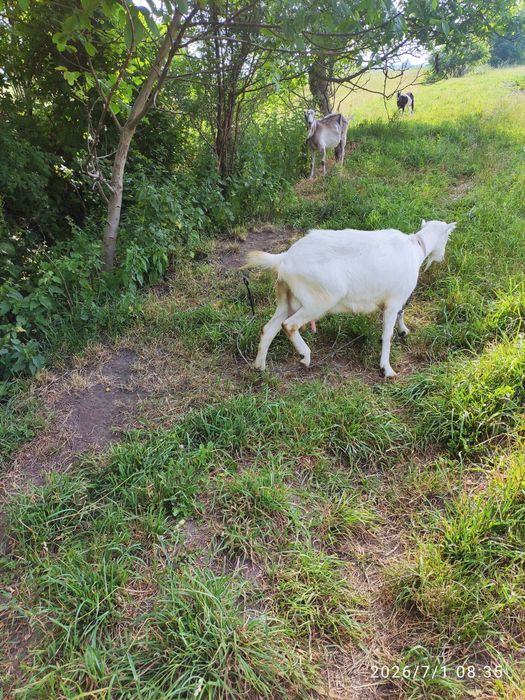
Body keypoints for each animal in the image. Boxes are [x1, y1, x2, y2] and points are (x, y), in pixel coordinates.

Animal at [244, 220, 456, 377]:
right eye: (448, 236)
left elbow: (401, 312)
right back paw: (305, 355)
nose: (443, 256)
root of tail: (285, 258)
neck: (416, 247)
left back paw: (259, 367)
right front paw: (387, 369)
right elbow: (388, 334)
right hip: (318, 300)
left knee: (268, 329)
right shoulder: (393, 301)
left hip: (288, 299)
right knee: (289, 325)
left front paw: (403, 331)